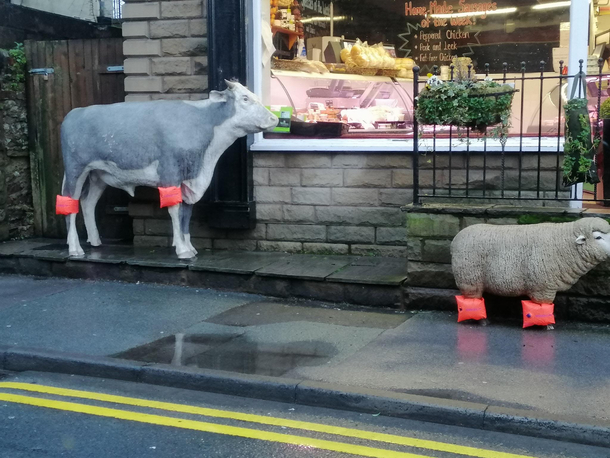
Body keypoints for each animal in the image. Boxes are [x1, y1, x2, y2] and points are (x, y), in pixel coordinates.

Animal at [57, 81, 276, 258]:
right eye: (245, 98)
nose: (273, 118)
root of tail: (75, 113)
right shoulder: (170, 173)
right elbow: (175, 209)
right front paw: (182, 250)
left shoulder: (189, 178)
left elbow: (186, 212)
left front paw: (190, 246)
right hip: (76, 169)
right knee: (69, 202)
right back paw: (75, 249)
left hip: (98, 175)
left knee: (87, 202)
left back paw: (95, 241)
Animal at [448, 217, 608, 306]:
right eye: (598, 237)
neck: (563, 243)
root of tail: (455, 240)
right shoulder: (542, 287)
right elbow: (542, 308)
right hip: (469, 279)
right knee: (471, 301)